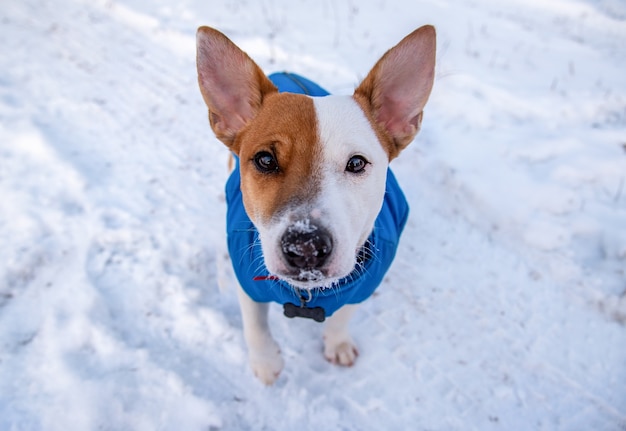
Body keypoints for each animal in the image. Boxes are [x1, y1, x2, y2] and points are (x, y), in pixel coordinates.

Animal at [196, 26, 434, 384]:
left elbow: (342, 316)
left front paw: (337, 343)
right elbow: (255, 325)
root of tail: (286, 72)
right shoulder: (250, 283)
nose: (306, 246)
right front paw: (266, 362)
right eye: (265, 159)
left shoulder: (361, 285)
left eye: (357, 163)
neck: (307, 296)